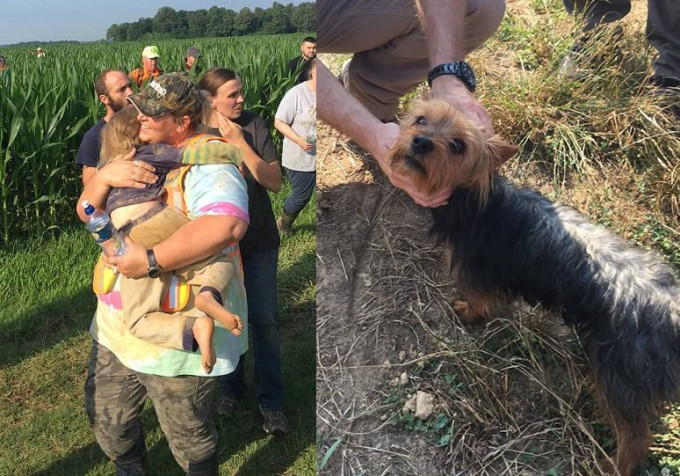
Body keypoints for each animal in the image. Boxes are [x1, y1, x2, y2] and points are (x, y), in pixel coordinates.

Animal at [390, 98, 680, 474]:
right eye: (421, 120)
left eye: (458, 146)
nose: (421, 142)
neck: (474, 198)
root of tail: (670, 309)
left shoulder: (476, 272)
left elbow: (478, 301)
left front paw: (467, 314)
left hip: (621, 378)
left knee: (635, 437)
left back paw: (610, 465)